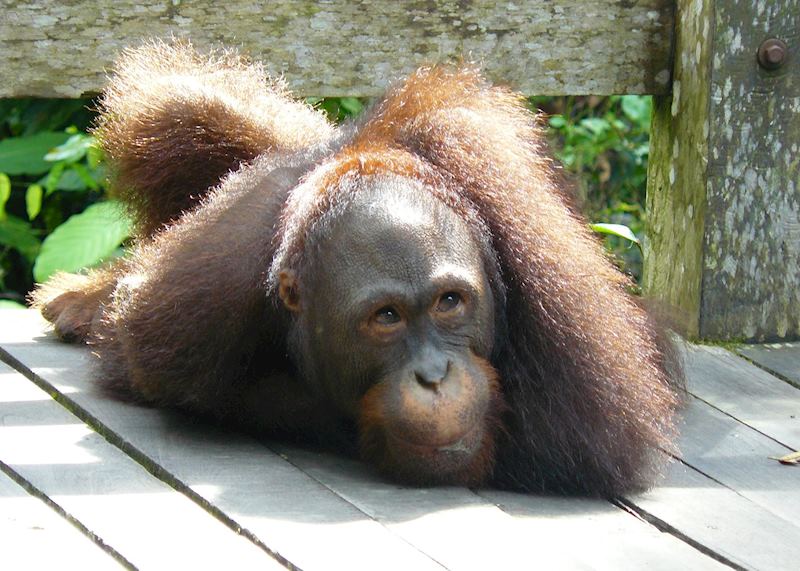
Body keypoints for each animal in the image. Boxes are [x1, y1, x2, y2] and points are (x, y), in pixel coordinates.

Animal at [33, 41, 682, 496]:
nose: (434, 375)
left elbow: (584, 439)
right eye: (386, 317)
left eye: (450, 302)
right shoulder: (190, 314)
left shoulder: (542, 257)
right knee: (178, 101)